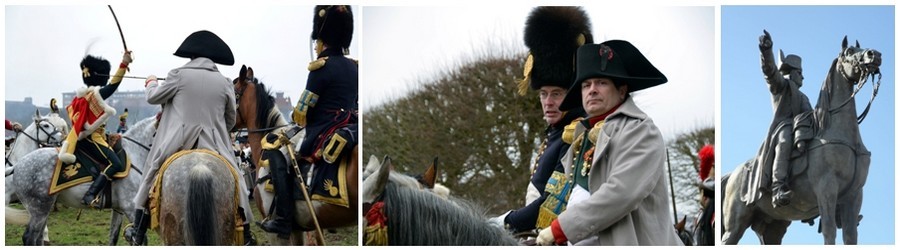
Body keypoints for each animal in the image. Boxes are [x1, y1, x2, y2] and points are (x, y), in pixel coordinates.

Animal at [720, 37, 884, 244]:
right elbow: (829, 230)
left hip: (773, 226)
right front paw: (765, 44)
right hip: (736, 224)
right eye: (849, 51)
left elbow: (850, 235)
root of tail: (733, 173)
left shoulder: (854, 195)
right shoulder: (826, 188)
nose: (874, 54)